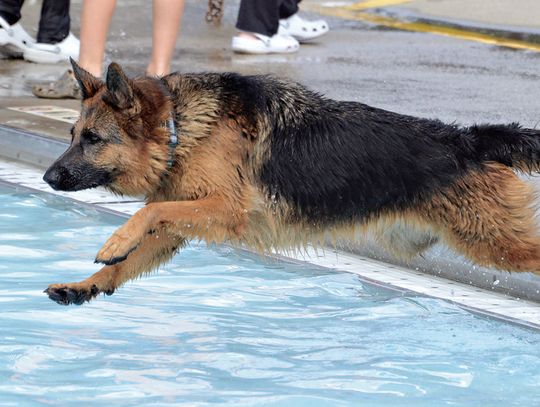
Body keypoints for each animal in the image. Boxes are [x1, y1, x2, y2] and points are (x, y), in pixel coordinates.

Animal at [43, 59, 540, 304]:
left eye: (92, 139)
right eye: (72, 136)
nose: (48, 177)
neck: (178, 127)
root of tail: (470, 139)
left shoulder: (225, 210)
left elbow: (150, 211)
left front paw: (114, 240)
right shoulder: (184, 222)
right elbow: (131, 256)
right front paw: (87, 285)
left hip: (497, 244)